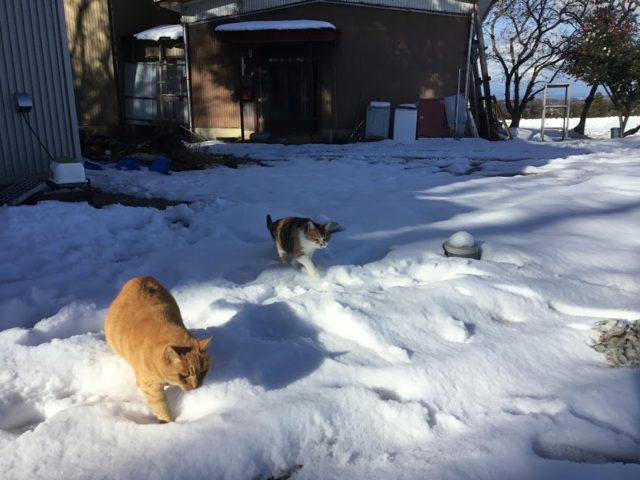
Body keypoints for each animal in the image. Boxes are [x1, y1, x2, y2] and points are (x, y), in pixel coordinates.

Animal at [104, 276, 211, 422]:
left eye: (203, 372)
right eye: (183, 375)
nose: (196, 387)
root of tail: (140, 277)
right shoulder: (151, 387)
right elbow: (161, 407)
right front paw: (169, 423)